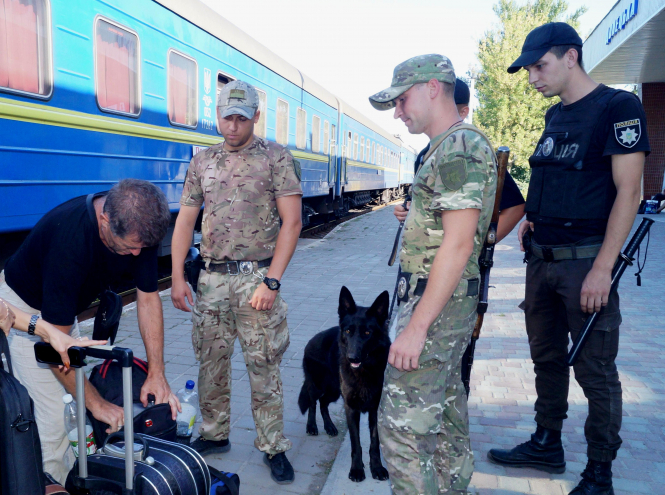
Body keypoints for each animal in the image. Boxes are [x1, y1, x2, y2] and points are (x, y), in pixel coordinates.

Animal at [296, 288, 390, 482]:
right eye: (347, 331)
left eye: (367, 333)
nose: (352, 358)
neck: (365, 371)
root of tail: (311, 340)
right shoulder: (351, 408)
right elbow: (356, 444)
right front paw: (357, 469)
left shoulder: (375, 410)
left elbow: (374, 443)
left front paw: (376, 467)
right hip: (320, 385)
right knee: (312, 401)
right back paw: (312, 426)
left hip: (334, 391)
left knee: (323, 402)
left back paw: (329, 426)